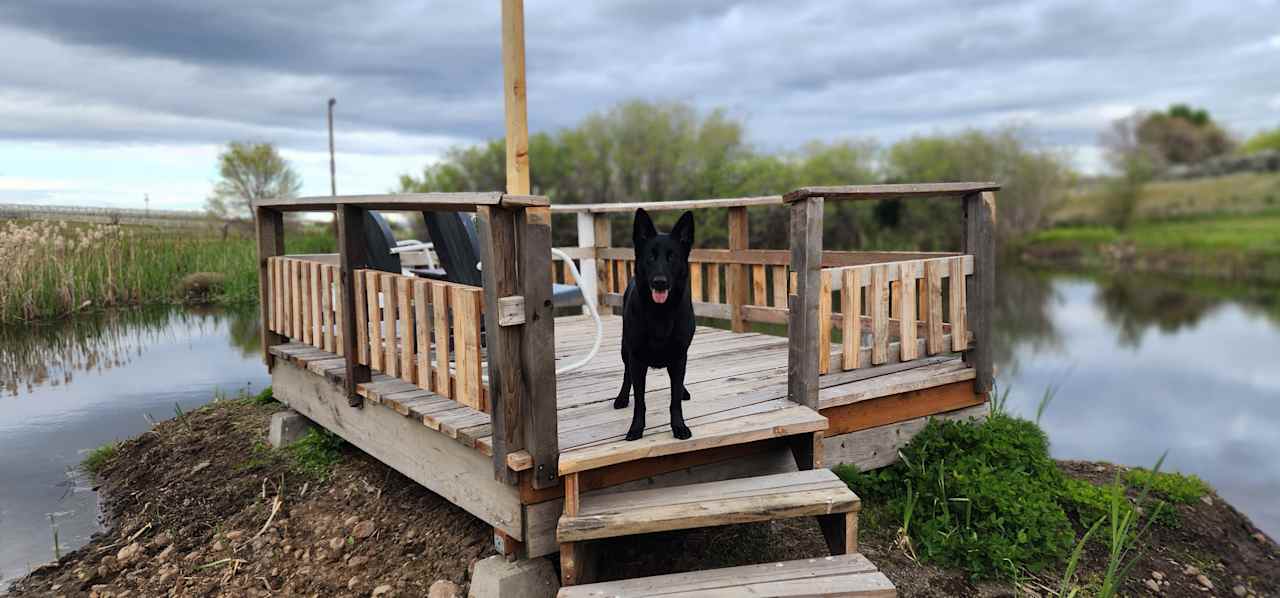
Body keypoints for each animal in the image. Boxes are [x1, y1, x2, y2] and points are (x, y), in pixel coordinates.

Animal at [611, 208, 696, 443]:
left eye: (672, 257)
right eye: (650, 257)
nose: (659, 282)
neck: (660, 312)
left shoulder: (679, 357)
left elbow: (674, 399)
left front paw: (679, 426)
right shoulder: (637, 358)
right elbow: (640, 400)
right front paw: (636, 428)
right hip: (625, 349)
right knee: (626, 375)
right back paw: (622, 397)